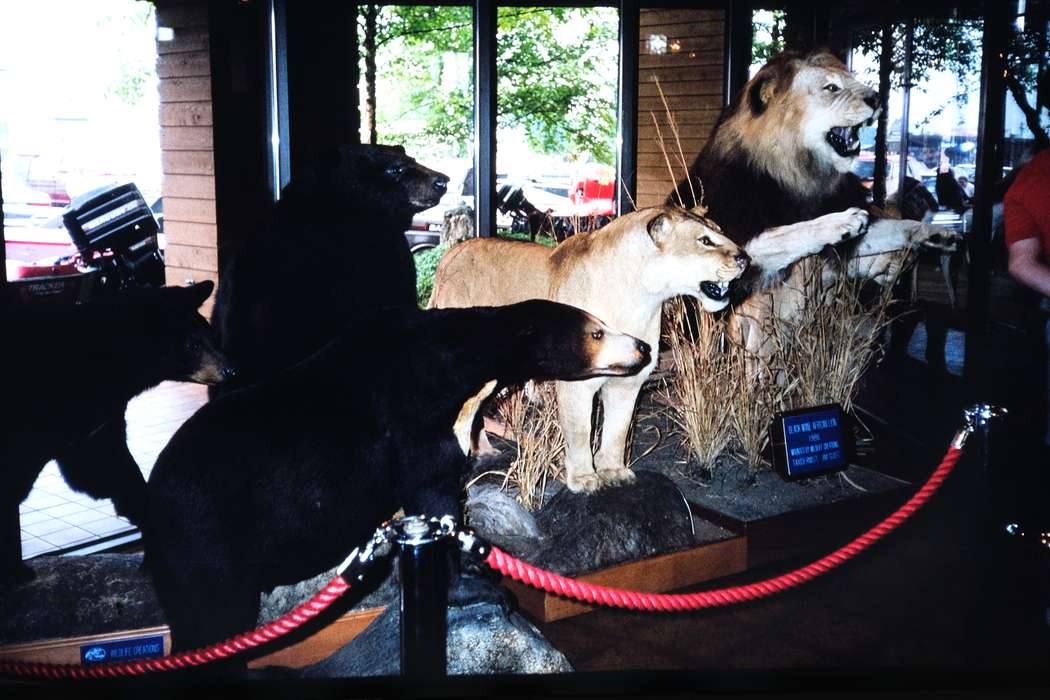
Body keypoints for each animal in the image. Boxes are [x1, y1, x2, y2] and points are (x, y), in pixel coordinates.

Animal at [0, 281, 232, 585]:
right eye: (193, 345)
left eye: (213, 337)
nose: (230, 370)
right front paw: (15, 569)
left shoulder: (94, 422)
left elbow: (105, 468)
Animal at [144, 299, 651, 652]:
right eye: (597, 330)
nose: (643, 347)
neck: (460, 365)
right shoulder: (415, 418)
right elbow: (433, 494)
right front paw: (480, 589)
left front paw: (476, 563)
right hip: (207, 540)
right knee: (212, 615)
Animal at [429, 206, 751, 492]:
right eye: (705, 240)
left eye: (720, 232)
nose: (745, 259)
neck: (641, 297)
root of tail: (451, 254)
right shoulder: (577, 385)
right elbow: (581, 432)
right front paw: (584, 479)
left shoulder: (629, 382)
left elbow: (618, 430)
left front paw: (613, 472)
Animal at [669, 49, 961, 356]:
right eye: (831, 88)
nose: (877, 99)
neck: (800, 174)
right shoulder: (731, 249)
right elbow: (792, 231)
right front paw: (843, 221)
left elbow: (894, 228)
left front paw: (938, 235)